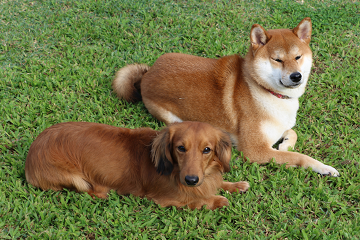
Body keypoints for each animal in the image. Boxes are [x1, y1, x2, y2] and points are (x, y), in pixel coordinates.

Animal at [25, 121, 249, 209]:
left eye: (207, 150)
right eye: (180, 148)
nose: (191, 180)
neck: (175, 171)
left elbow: (217, 183)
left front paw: (235, 185)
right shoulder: (167, 198)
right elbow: (197, 200)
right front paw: (217, 200)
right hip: (75, 179)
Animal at [113, 17, 340, 176]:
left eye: (298, 57)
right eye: (277, 60)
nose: (296, 76)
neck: (266, 91)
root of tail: (147, 75)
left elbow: (292, 133)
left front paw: (285, 143)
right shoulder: (255, 150)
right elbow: (298, 157)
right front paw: (323, 167)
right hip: (173, 118)